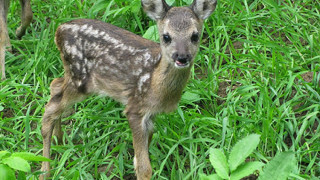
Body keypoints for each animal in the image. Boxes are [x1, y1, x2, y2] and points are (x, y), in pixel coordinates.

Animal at [39, 0, 215, 179]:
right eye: (166, 36)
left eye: (195, 36)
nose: (182, 57)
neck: (155, 82)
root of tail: (58, 30)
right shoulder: (135, 108)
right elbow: (144, 168)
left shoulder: (151, 114)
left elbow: (139, 158)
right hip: (80, 79)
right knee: (51, 108)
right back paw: (45, 171)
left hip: (73, 76)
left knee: (55, 85)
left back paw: (60, 140)